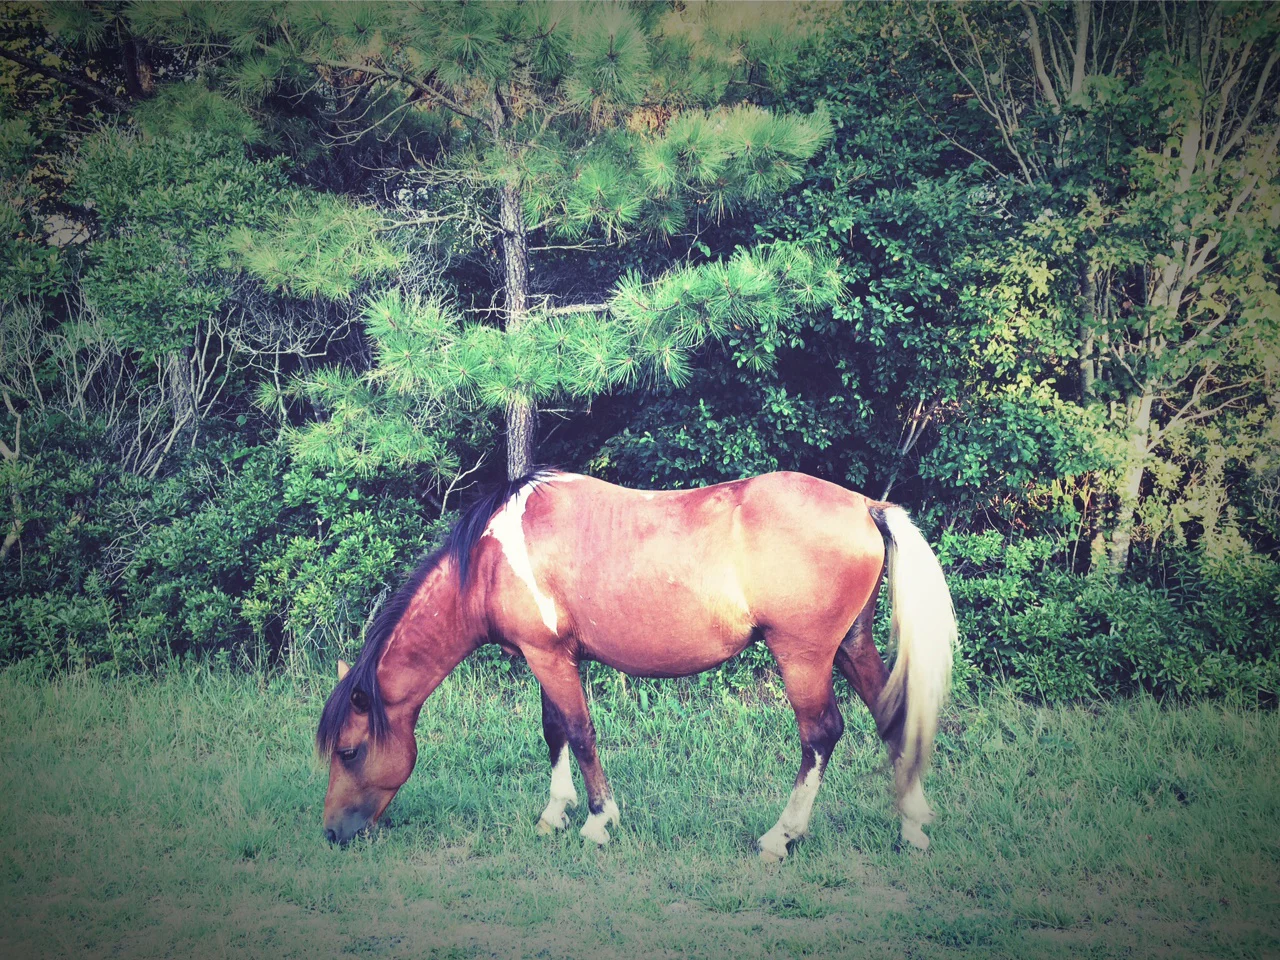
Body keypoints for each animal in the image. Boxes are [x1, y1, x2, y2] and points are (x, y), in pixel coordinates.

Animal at [316, 469, 957, 860]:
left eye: (349, 751)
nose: (331, 833)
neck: (491, 559)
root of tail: (868, 507)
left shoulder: (549, 659)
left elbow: (579, 733)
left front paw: (598, 822)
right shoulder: (548, 657)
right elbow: (554, 731)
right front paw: (555, 814)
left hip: (803, 657)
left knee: (821, 734)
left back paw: (782, 836)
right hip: (851, 647)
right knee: (892, 720)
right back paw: (913, 826)